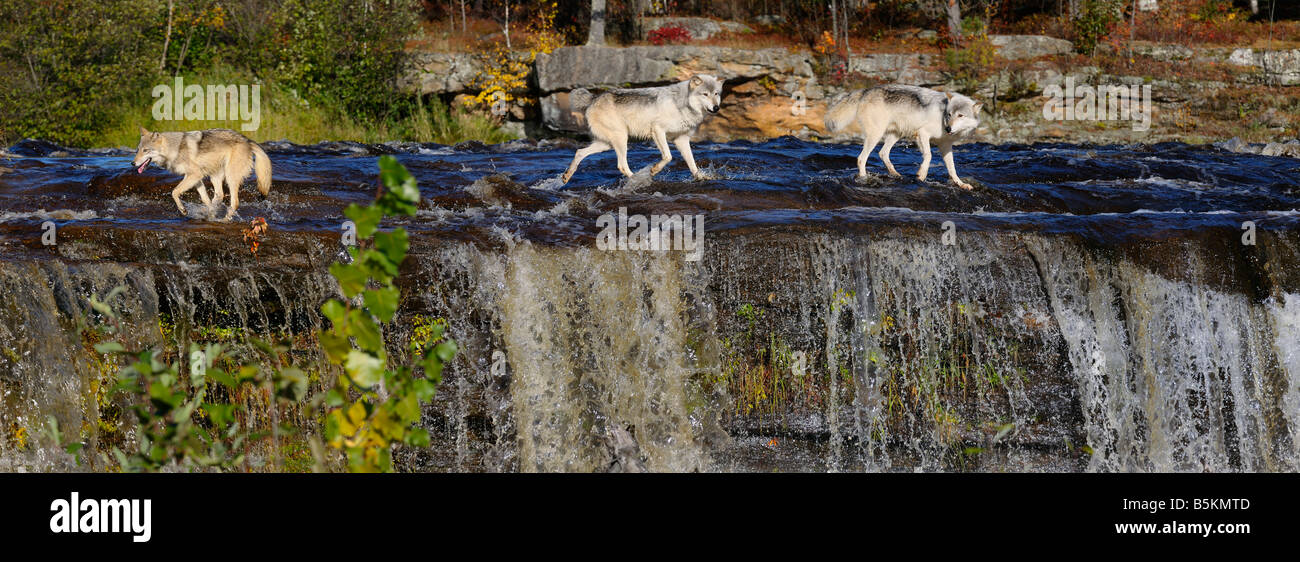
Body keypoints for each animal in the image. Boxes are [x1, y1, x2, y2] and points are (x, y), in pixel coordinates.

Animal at [131, 128, 271, 221]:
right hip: (215, 176)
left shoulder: (194, 175)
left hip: (230, 177)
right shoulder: (196, 178)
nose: (132, 163)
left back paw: (224, 220)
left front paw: (183, 210)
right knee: (219, 196)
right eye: (137, 150)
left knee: (234, 202)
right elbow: (205, 198)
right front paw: (209, 212)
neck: (174, 149)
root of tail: (248, 140)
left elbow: (174, 192)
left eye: (145, 150)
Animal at [559, 73, 722, 183]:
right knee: (621, 165)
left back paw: (567, 176)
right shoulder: (657, 130)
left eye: (716, 94)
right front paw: (654, 170)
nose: (716, 108)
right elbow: (668, 156)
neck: (681, 104)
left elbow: (692, 163)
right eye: (705, 94)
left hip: (606, 144)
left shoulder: (681, 139)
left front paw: (701, 177)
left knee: (579, 152)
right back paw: (639, 179)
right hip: (621, 139)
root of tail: (594, 98)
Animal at [826, 83, 977, 188]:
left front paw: (961, 184)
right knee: (861, 158)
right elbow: (928, 155)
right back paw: (864, 178)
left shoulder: (945, 145)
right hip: (876, 135)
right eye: (949, 114)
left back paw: (896, 174)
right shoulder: (922, 133)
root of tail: (866, 90)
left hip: (895, 135)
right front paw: (921, 175)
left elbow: (952, 168)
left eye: (960, 115)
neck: (942, 117)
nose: (948, 128)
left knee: (882, 153)